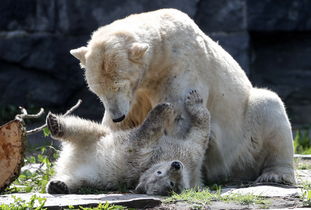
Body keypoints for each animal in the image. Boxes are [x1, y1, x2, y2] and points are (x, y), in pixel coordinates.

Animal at [47, 90, 212, 194]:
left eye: (171, 184)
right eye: (158, 172)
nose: (176, 165)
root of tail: (67, 162)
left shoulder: (190, 160)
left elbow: (200, 135)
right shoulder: (184, 155)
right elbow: (199, 134)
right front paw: (189, 101)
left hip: (90, 178)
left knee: (77, 179)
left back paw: (58, 185)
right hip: (98, 139)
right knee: (84, 128)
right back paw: (55, 124)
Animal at [71, 9, 298, 185]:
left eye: (120, 84)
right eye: (97, 90)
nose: (118, 115)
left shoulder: (180, 68)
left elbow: (181, 121)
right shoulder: (137, 96)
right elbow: (121, 128)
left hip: (241, 137)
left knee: (269, 106)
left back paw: (275, 175)